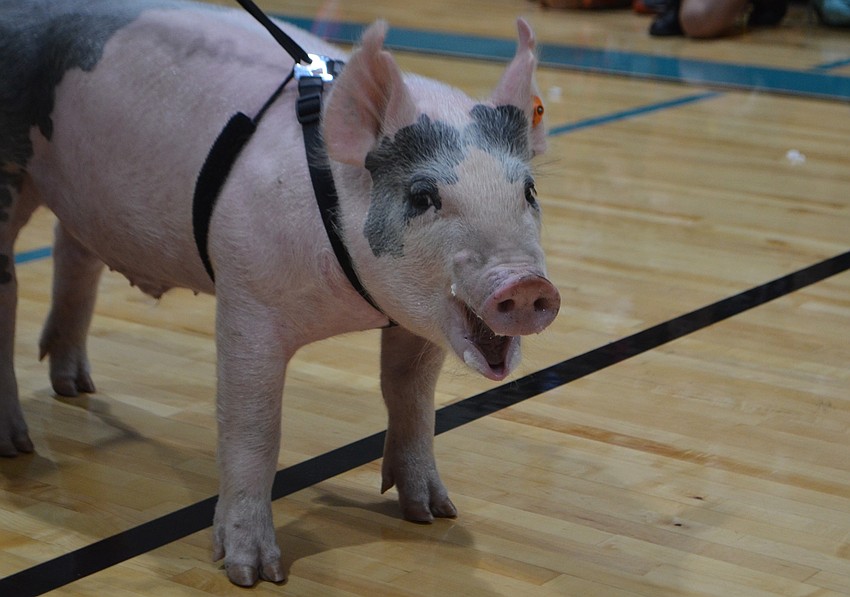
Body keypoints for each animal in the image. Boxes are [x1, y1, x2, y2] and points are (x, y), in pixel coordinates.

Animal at [0, 0, 560, 586]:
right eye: (423, 196)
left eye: (528, 191)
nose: (526, 285)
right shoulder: (247, 297)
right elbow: (253, 426)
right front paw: (252, 574)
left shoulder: (419, 320)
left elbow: (410, 395)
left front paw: (434, 513)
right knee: (9, 291)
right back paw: (16, 447)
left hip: (83, 202)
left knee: (72, 248)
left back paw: (74, 388)